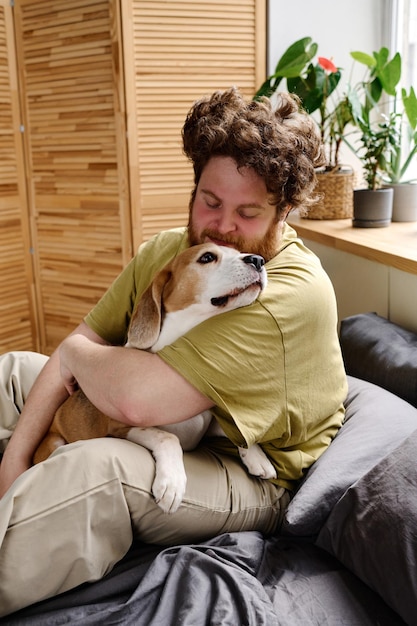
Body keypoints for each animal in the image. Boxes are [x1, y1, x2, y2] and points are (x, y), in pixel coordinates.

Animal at [34, 241, 276, 510]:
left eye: (238, 251)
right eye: (207, 257)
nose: (257, 260)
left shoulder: (207, 425)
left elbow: (235, 431)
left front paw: (257, 456)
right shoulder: (120, 427)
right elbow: (168, 437)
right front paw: (172, 483)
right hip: (55, 443)